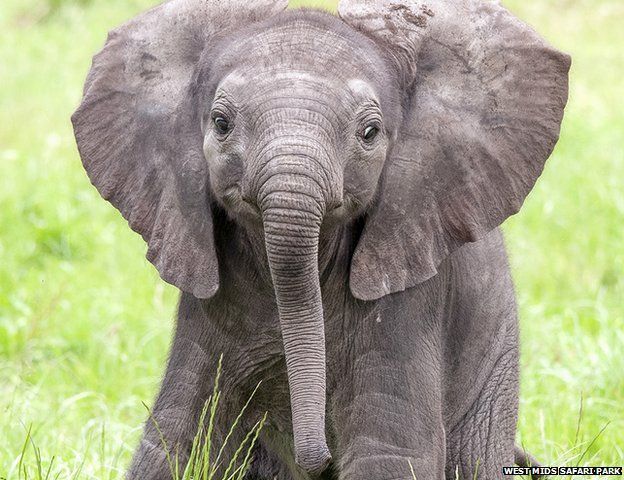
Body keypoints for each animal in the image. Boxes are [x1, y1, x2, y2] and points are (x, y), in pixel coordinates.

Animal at [72, 0, 572, 478]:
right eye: (220, 123)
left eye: (369, 133)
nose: (313, 456)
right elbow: (176, 442)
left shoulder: (410, 299)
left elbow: (388, 453)